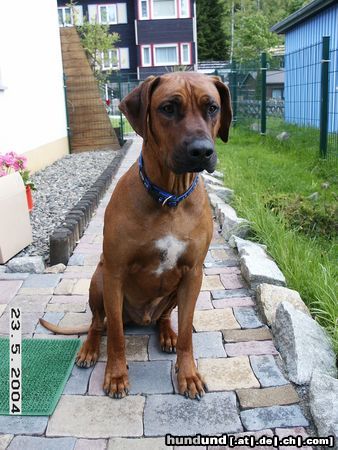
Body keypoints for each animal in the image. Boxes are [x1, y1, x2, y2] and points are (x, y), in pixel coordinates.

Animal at [39, 73, 230, 400]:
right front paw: (116, 375)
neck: (169, 197)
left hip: (171, 294)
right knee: (98, 323)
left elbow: (187, 334)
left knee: (164, 317)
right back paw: (89, 349)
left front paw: (188, 374)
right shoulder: (115, 272)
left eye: (212, 107)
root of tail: (141, 319)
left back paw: (167, 333)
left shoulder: (193, 274)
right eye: (168, 108)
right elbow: (115, 334)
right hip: (98, 280)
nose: (202, 151)